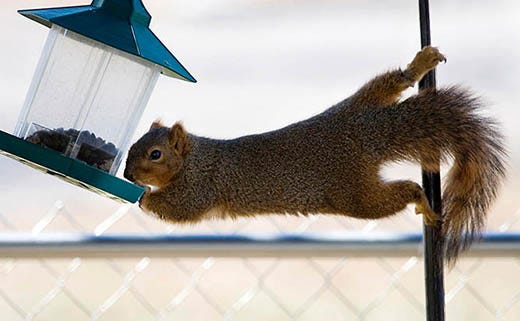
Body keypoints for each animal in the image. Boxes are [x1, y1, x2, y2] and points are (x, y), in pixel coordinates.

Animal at [124, 46, 506, 264]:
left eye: (155, 154)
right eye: (133, 146)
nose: (127, 175)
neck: (193, 159)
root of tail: (369, 135)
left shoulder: (200, 186)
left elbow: (179, 209)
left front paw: (144, 196)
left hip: (356, 197)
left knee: (400, 192)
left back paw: (422, 200)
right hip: (358, 105)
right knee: (391, 83)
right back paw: (419, 63)